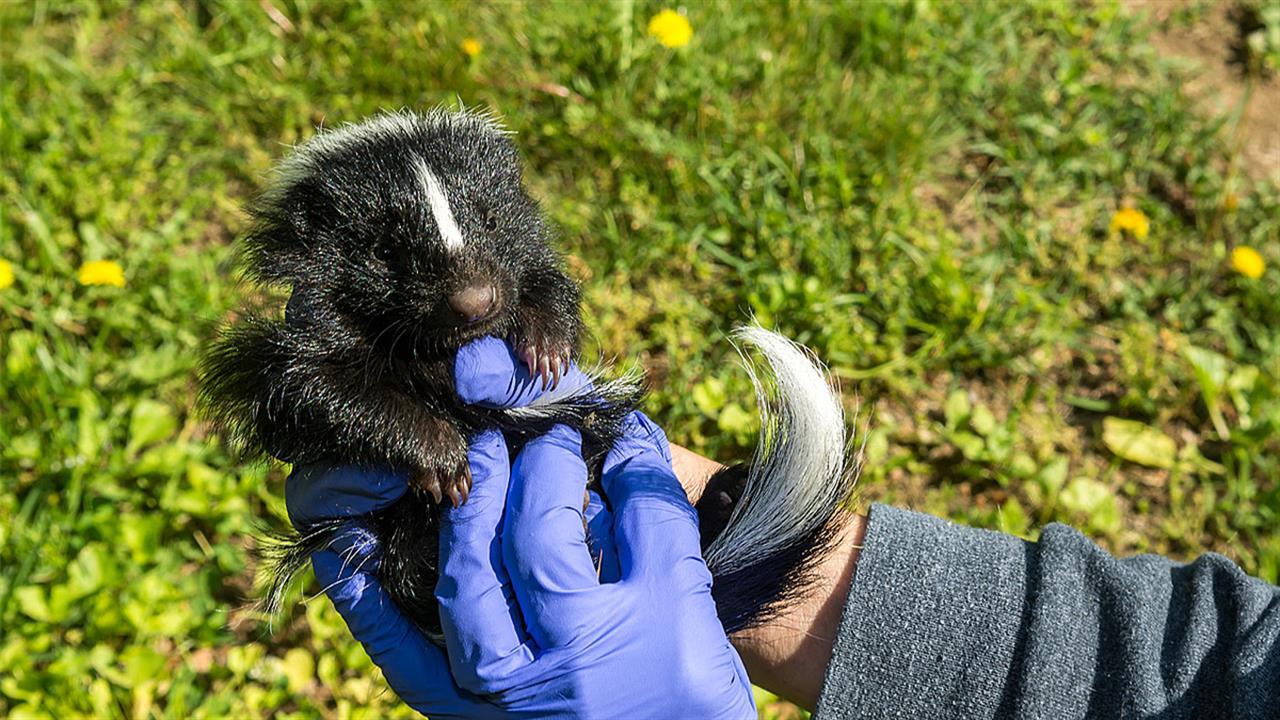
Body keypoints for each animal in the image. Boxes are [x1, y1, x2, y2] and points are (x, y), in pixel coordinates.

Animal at [202, 107, 860, 638]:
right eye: (386, 252)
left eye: (492, 222)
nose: (474, 300)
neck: (441, 351)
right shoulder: (303, 331)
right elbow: (316, 389)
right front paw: (438, 452)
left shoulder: (524, 264)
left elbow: (546, 281)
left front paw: (545, 343)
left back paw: (717, 499)